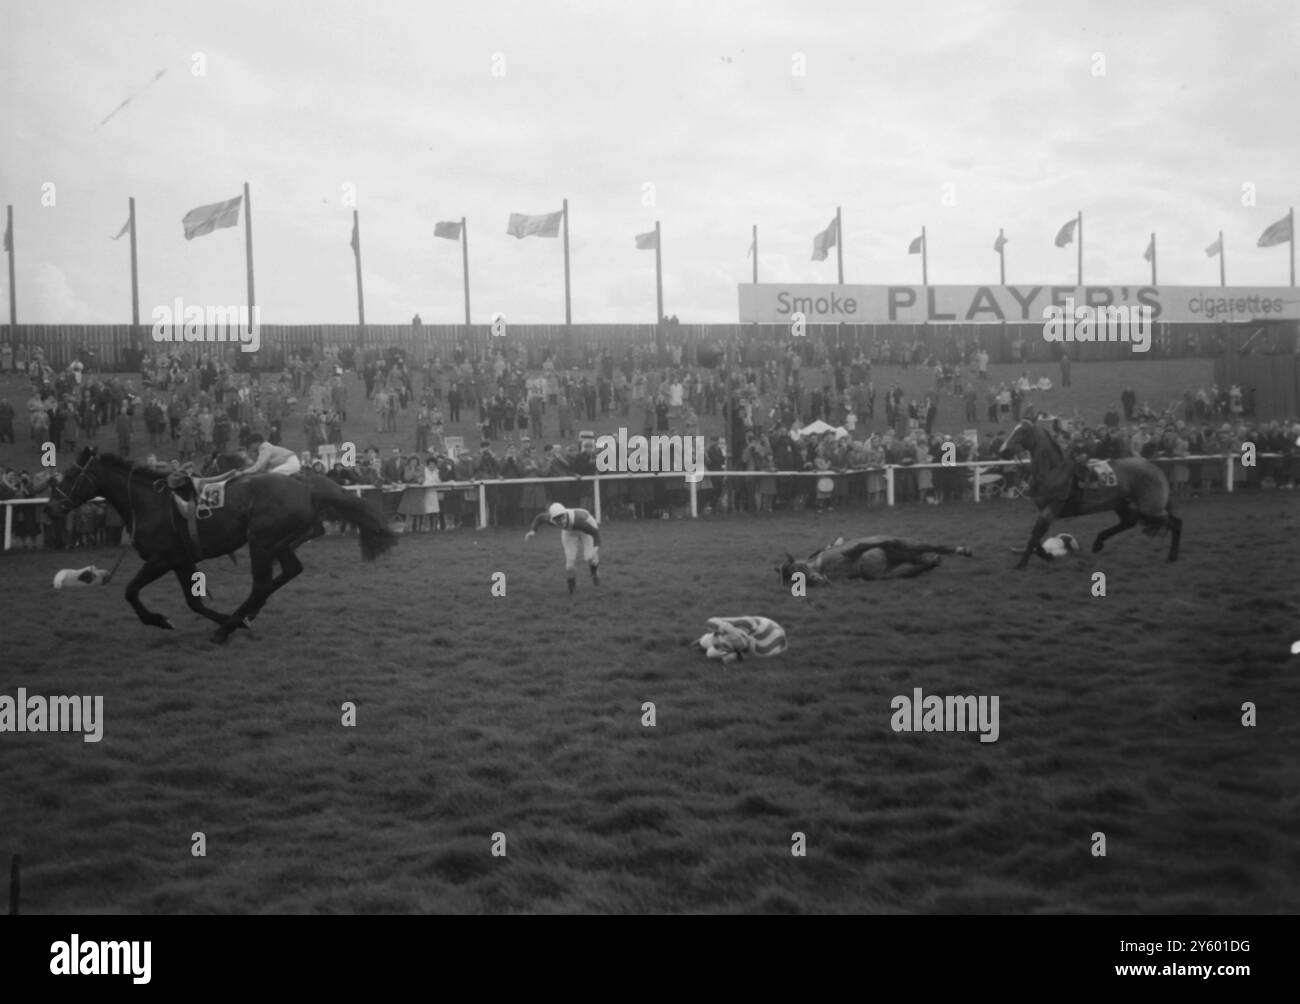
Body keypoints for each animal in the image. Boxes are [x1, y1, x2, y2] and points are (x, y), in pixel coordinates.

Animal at [45, 447, 395, 642]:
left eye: (70, 474)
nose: (52, 506)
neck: (147, 503)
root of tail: (305, 486)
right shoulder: (182, 560)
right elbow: (194, 602)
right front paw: (225, 619)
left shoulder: (162, 559)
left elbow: (131, 591)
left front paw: (161, 620)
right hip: (278, 541)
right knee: (289, 571)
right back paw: (244, 615)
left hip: (261, 540)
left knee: (261, 584)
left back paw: (229, 627)